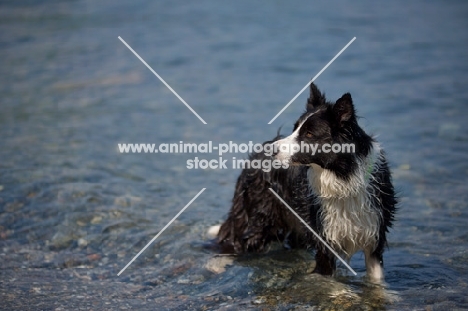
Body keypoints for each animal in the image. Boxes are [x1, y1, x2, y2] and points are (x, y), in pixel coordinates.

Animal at [218, 83, 396, 282]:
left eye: (309, 133)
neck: (342, 177)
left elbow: (377, 280)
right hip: (259, 219)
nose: (271, 149)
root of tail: (257, 153)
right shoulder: (324, 240)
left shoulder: (375, 237)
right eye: (295, 128)